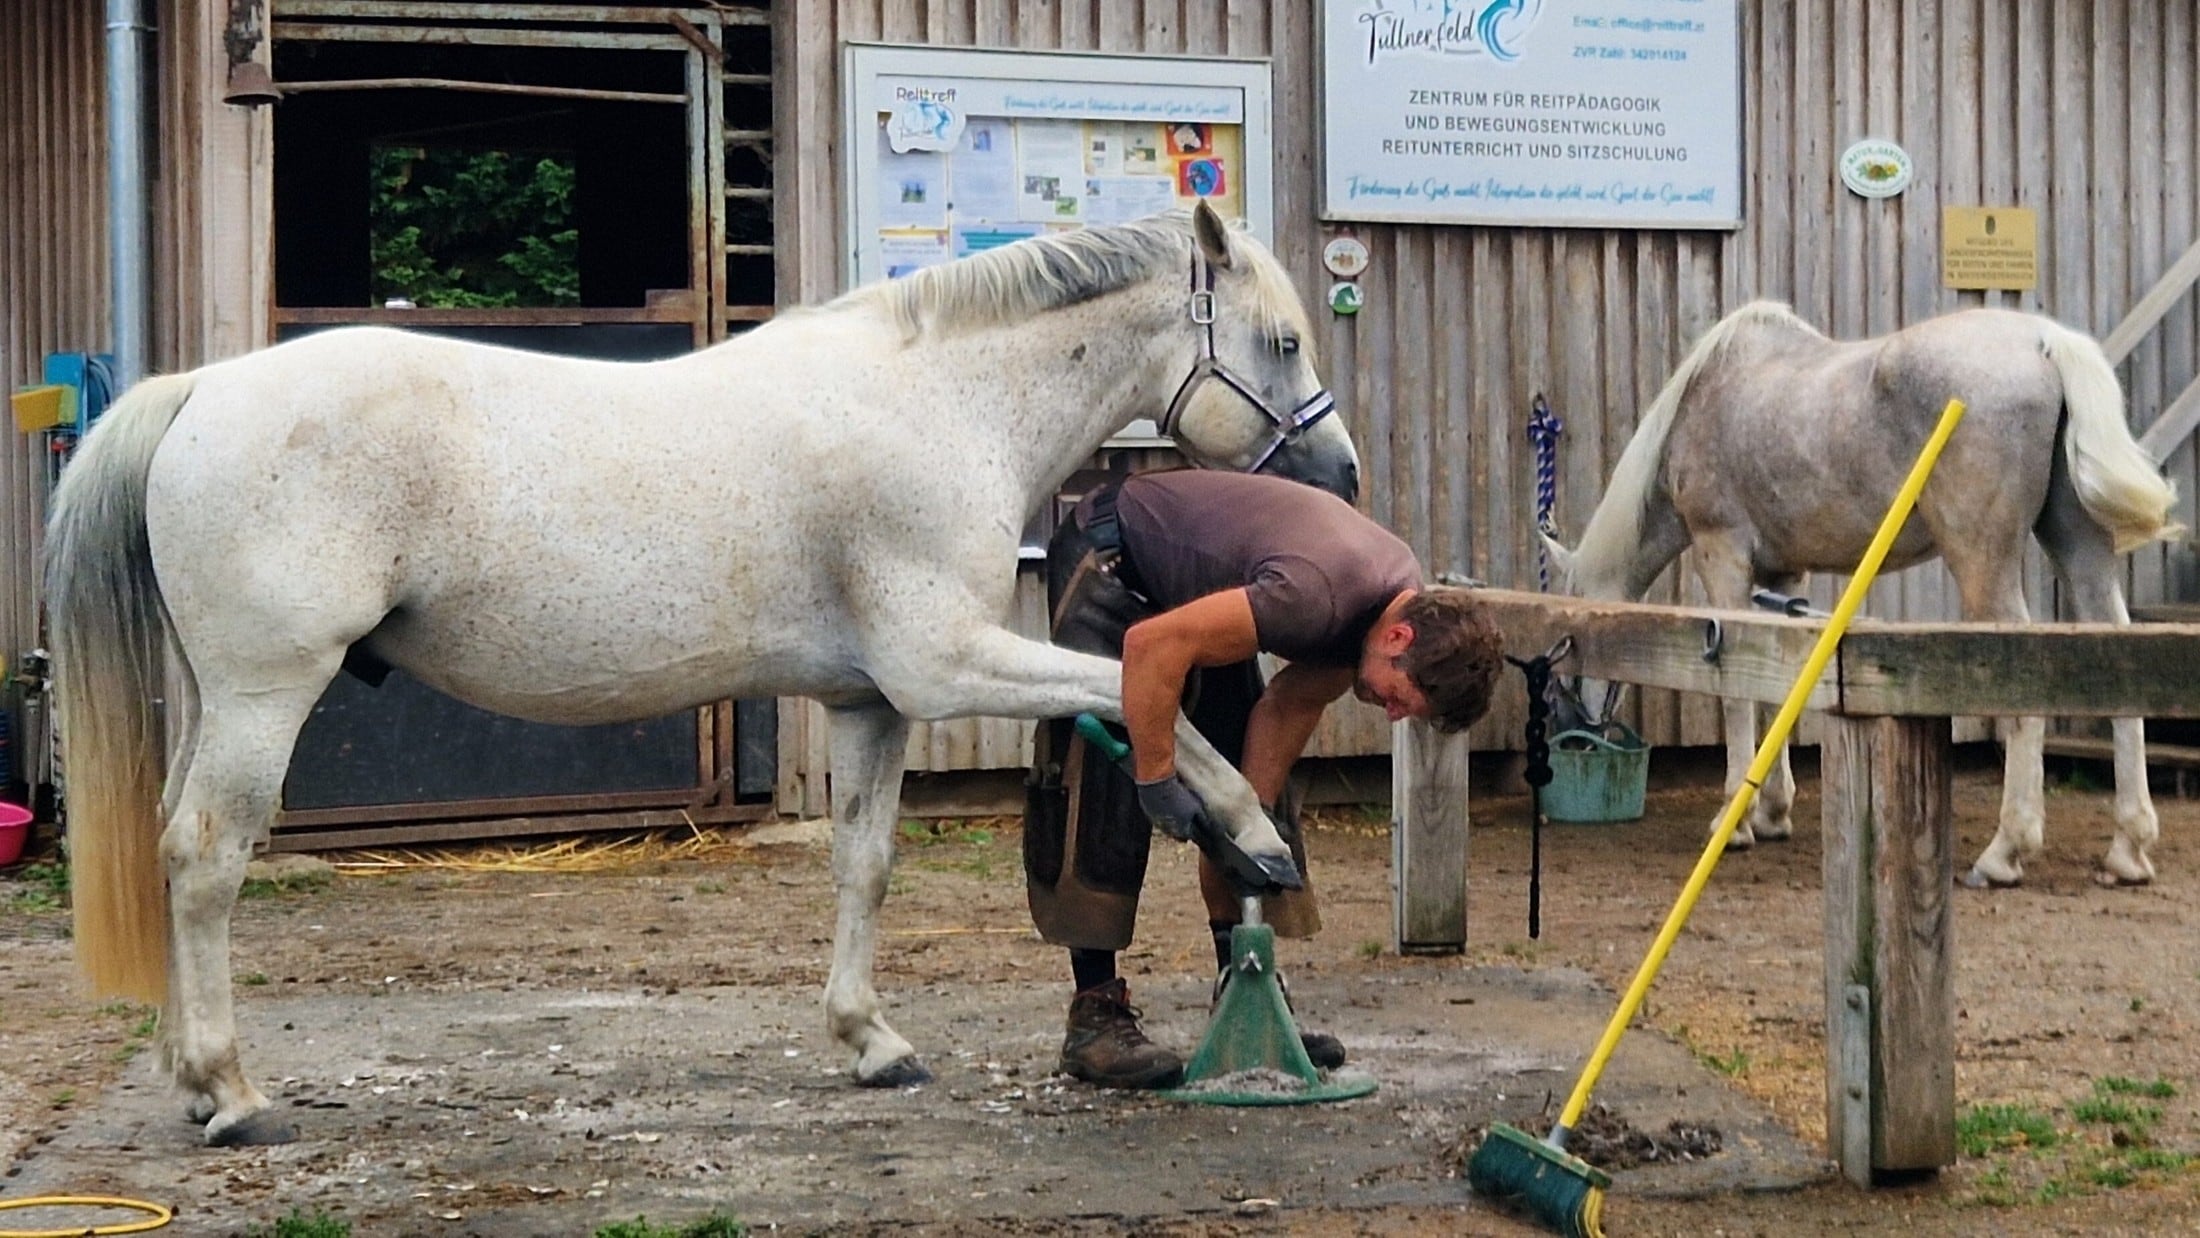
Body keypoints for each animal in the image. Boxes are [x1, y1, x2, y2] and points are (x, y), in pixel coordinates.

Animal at [47, 201, 1355, 1143]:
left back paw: (192, 1077)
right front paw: (1251, 833)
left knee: (173, 843)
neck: (940, 405)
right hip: (267, 692)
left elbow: (865, 863)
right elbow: (1133, 692)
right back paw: (231, 1093)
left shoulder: (871, 702)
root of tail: (202, 391)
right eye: (1282, 340)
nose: (1339, 474)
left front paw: (871, 1041)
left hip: (217, 695)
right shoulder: (944, 667)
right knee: (206, 856)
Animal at [1548, 303, 2182, 888]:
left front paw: (1736, 821)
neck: (1710, 396)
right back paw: (2127, 850)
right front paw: (1773, 812)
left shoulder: (1720, 555)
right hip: (2079, 551)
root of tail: (2044, 341)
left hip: (1983, 563)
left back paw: (2004, 852)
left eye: (1565, 647)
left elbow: (1736, 694)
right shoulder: (1785, 576)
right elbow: (1777, 685)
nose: (1570, 736)